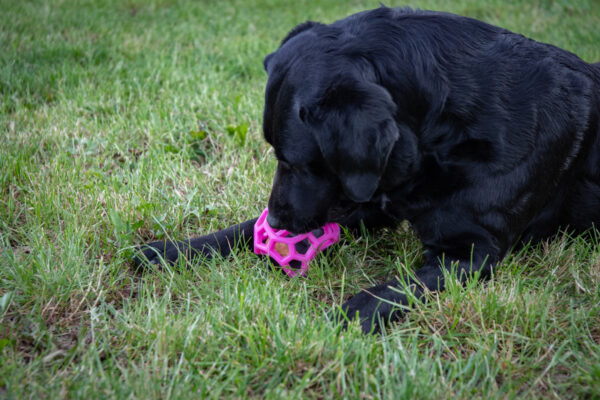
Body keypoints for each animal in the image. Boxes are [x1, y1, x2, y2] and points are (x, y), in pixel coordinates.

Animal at [136, 7, 600, 334]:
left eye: (292, 161)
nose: (281, 221)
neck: (441, 138)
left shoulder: (472, 251)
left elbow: (398, 287)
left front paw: (349, 315)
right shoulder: (369, 201)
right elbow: (242, 228)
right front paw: (173, 250)